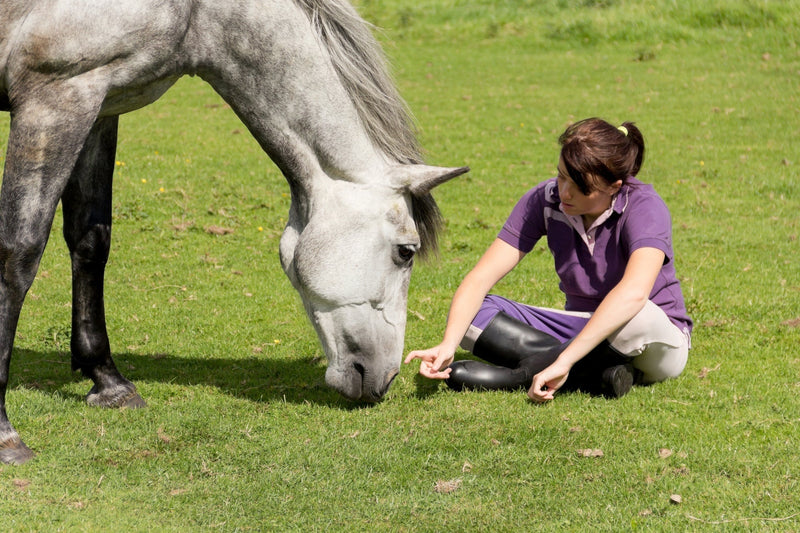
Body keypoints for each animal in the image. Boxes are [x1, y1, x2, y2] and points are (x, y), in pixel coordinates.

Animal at [0, 0, 468, 464]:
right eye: (406, 251)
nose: (385, 378)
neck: (195, 13)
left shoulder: (101, 107)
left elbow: (90, 241)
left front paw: (108, 381)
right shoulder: (57, 98)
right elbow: (18, 253)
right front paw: (7, 434)